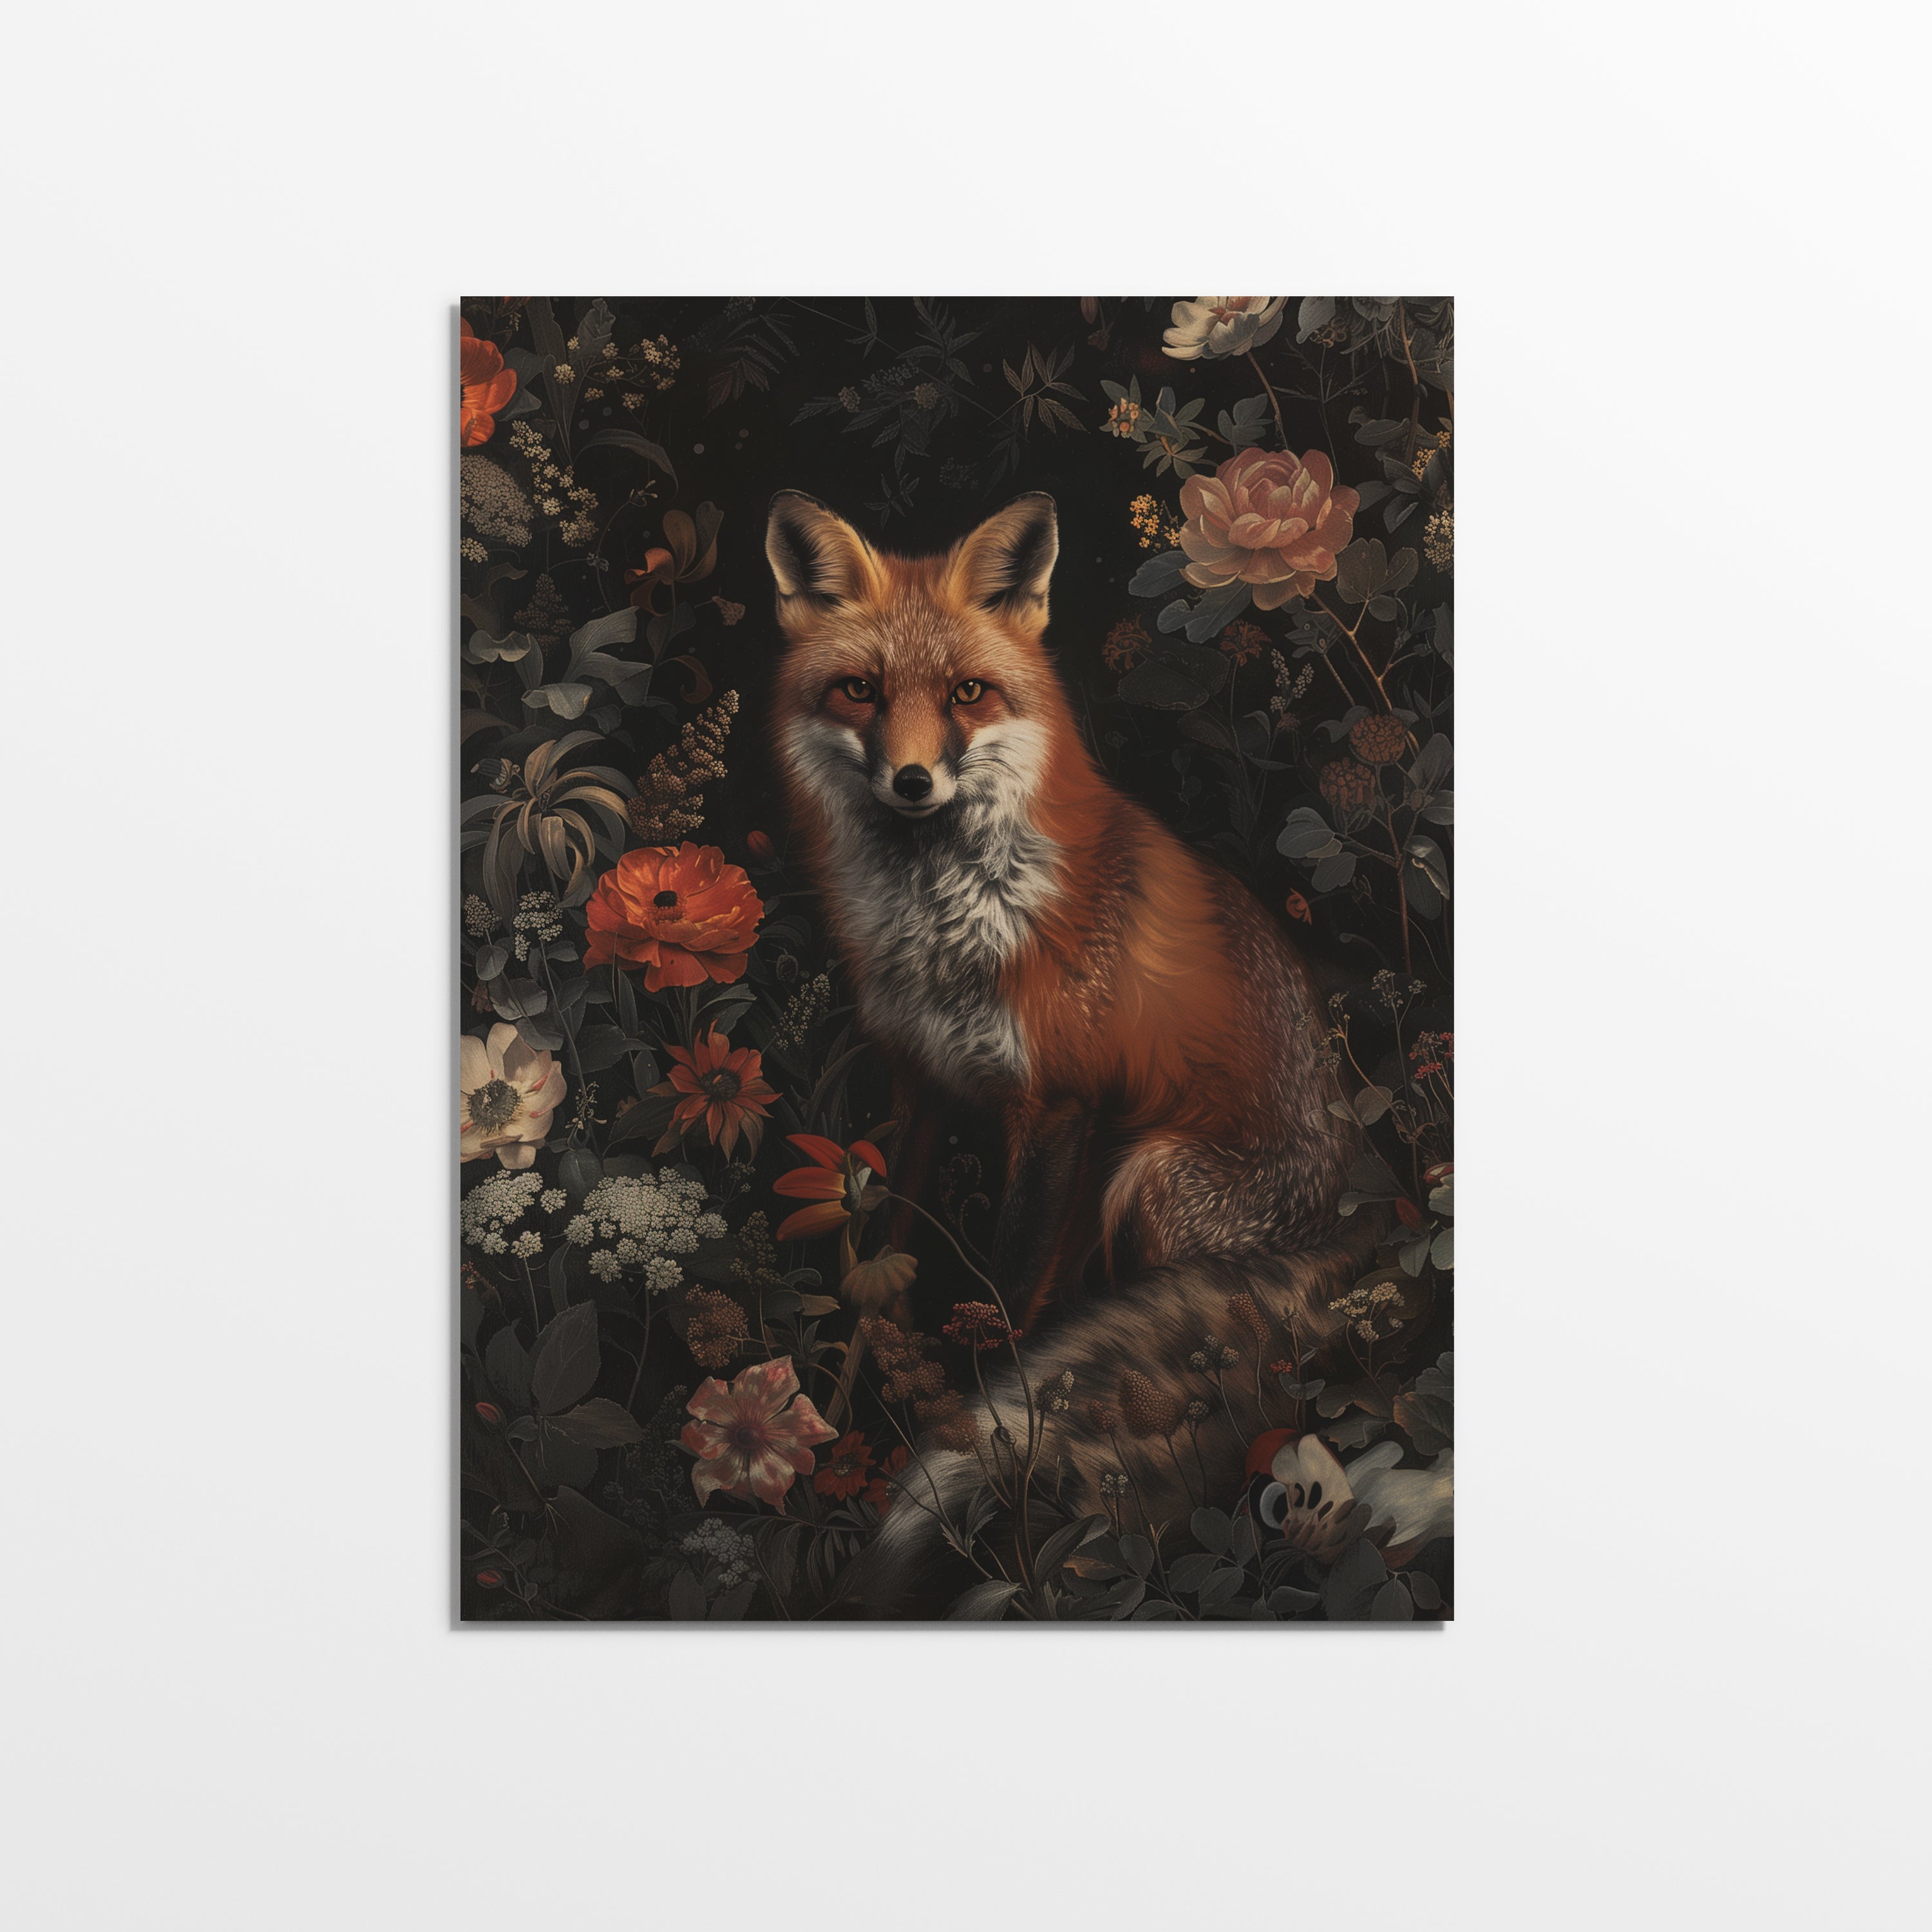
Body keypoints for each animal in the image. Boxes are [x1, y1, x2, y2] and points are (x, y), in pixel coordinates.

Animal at [763, 490, 1381, 1612]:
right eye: (859, 690)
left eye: (967, 693)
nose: (912, 780)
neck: (950, 926)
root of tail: (1376, 1206)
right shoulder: (918, 1087)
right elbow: (877, 1279)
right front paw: (833, 1426)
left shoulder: (1058, 1107)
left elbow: (1004, 1309)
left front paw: (959, 1443)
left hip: (1151, 1178)